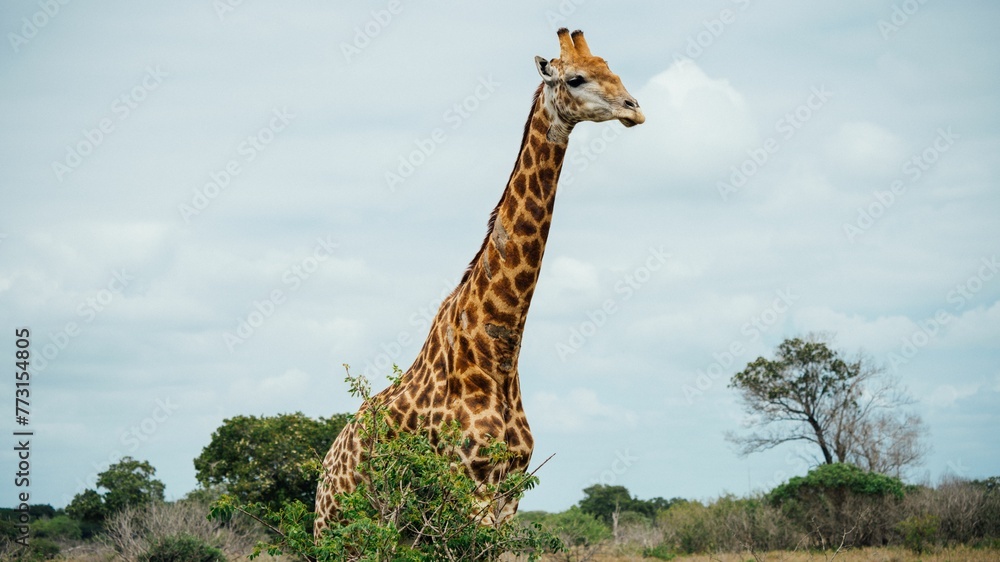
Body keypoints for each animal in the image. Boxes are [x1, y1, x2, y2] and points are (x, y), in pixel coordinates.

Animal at [315, 28, 645, 536]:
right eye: (575, 78)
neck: (501, 349)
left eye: (613, 69)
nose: (635, 108)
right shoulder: (467, 485)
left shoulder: (510, 492)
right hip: (344, 531)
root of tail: (322, 477)